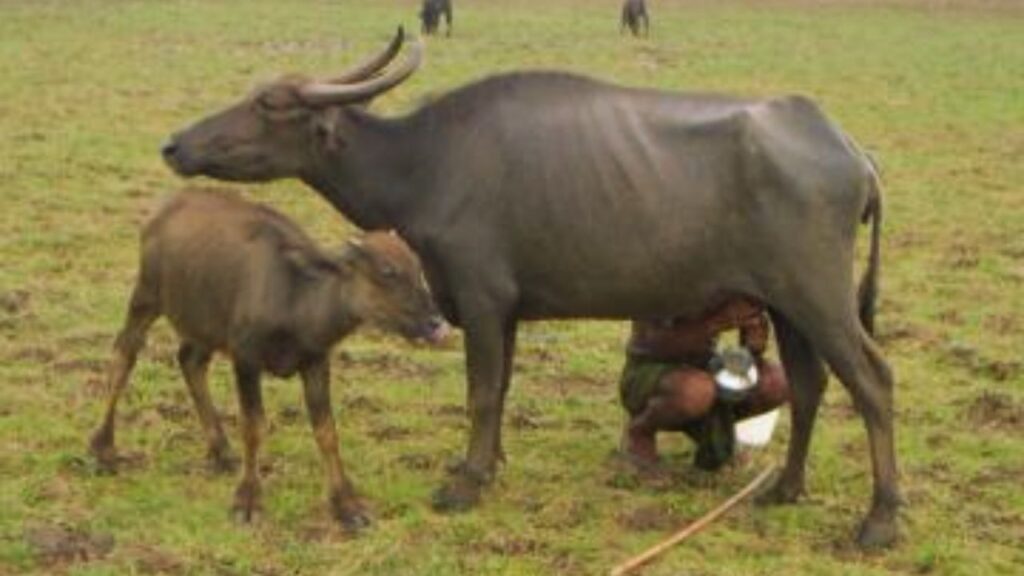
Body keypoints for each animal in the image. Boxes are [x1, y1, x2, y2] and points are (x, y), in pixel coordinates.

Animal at [89, 187, 444, 530]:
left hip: (205, 324)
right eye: (388, 271)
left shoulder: (315, 362)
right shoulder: (246, 359)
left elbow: (326, 431)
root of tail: (164, 209)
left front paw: (347, 506)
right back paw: (103, 448)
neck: (295, 299)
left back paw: (221, 451)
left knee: (190, 361)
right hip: (146, 296)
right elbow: (253, 426)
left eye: (418, 268)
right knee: (124, 355)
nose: (436, 323)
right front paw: (247, 501)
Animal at [161, 29, 900, 548]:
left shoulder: (481, 300)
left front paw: (464, 483)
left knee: (873, 380)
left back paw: (880, 521)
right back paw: (787, 489)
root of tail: (850, 151)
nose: (174, 145)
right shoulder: (509, 312)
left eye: (269, 104)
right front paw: (491, 463)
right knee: (808, 384)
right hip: (786, 304)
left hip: (819, 296)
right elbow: (504, 387)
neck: (424, 163)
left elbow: (482, 391)